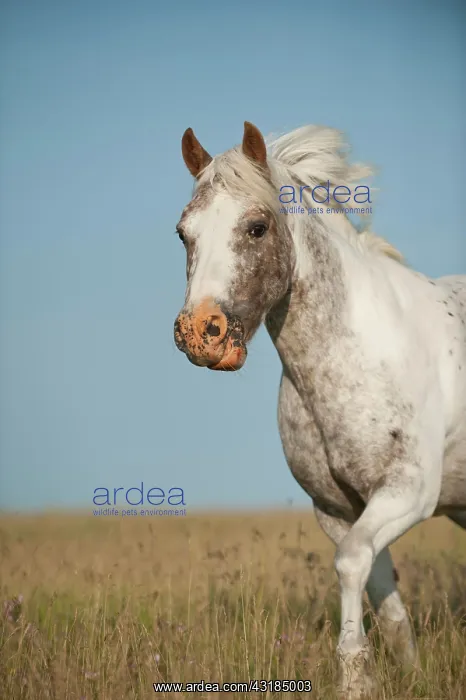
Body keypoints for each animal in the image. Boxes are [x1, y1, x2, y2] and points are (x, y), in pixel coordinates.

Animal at [173, 121, 466, 698]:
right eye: (183, 233)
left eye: (257, 227)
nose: (200, 333)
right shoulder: (337, 508)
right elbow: (382, 593)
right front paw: (401, 673)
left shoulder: (407, 494)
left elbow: (350, 563)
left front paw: (353, 675)